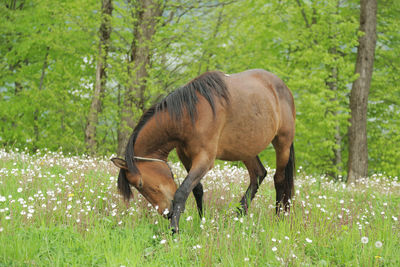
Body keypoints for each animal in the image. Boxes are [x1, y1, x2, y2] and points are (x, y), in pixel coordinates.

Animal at [111, 69, 296, 234]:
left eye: (140, 184)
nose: (167, 213)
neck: (189, 114)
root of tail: (283, 88)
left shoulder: (205, 159)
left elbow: (182, 192)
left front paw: (174, 230)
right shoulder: (186, 157)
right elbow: (197, 189)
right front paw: (201, 222)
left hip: (283, 144)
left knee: (279, 180)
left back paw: (278, 219)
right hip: (246, 148)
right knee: (258, 174)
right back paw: (237, 216)